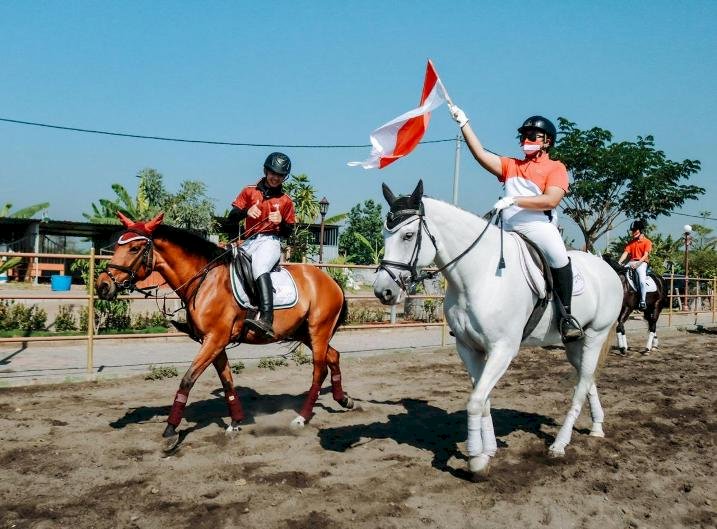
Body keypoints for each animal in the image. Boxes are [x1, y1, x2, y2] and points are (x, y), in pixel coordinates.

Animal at [95, 211, 352, 450]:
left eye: (134, 248)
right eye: (118, 245)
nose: (102, 286)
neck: (204, 279)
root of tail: (330, 280)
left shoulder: (215, 340)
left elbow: (187, 379)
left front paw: (170, 430)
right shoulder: (213, 342)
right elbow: (227, 380)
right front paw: (236, 422)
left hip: (318, 332)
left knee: (319, 370)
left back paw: (301, 418)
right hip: (304, 333)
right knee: (333, 356)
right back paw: (344, 400)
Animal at [374, 180, 620, 474]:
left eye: (408, 235)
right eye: (384, 235)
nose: (383, 292)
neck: (479, 274)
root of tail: (607, 268)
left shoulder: (502, 350)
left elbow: (475, 401)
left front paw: (477, 461)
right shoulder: (469, 348)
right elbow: (483, 399)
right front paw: (488, 449)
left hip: (595, 336)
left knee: (581, 386)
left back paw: (559, 445)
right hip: (573, 343)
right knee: (588, 377)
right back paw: (596, 427)